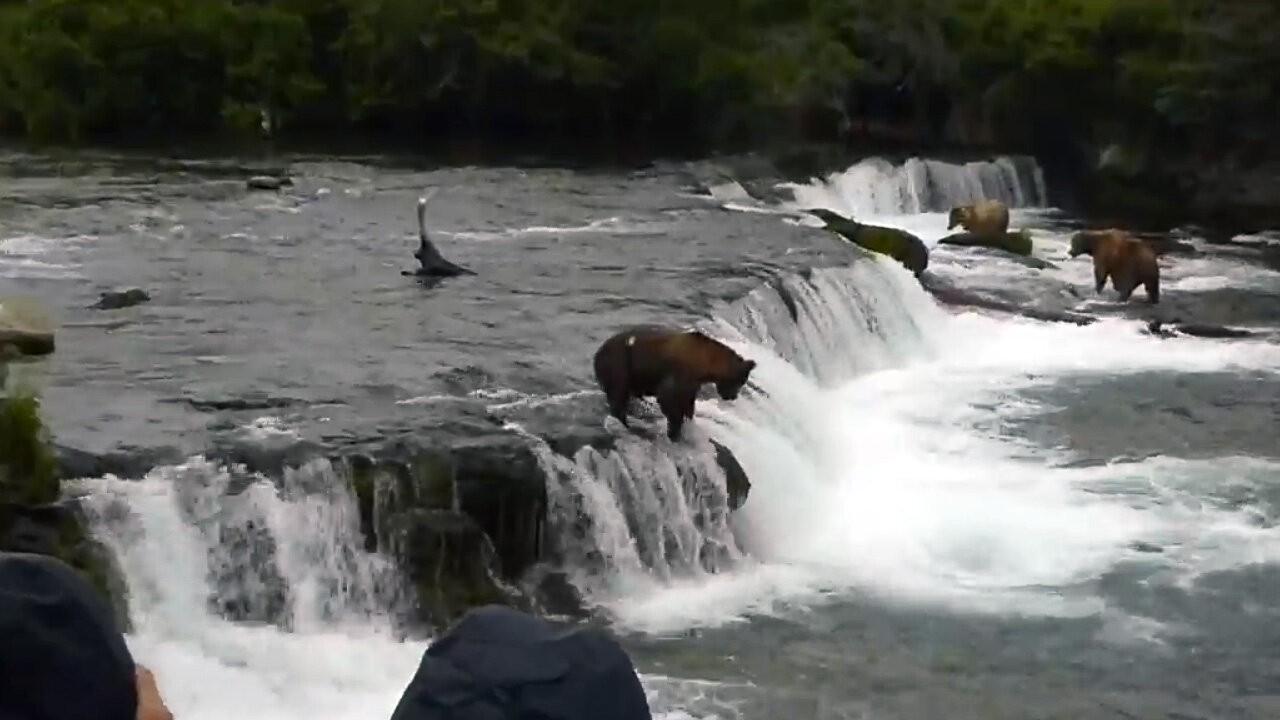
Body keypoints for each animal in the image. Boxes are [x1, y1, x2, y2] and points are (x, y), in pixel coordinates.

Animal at [591, 324, 752, 438]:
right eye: (740, 382)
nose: (733, 396)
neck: (704, 364)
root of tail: (597, 354)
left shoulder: (692, 384)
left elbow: (687, 402)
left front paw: (688, 421)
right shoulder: (679, 374)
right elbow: (670, 401)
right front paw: (675, 430)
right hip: (619, 366)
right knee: (618, 398)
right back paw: (625, 425)